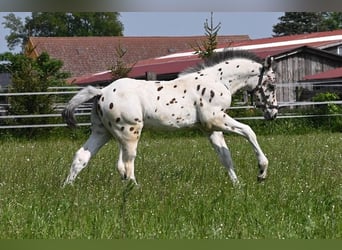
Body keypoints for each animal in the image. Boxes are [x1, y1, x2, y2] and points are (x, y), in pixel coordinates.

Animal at [62, 49, 278, 186]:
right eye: (272, 85)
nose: (273, 113)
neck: (218, 80)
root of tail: (101, 92)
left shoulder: (209, 128)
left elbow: (225, 156)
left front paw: (238, 186)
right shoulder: (216, 119)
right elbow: (249, 131)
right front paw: (261, 172)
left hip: (102, 132)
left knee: (82, 157)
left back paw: (67, 188)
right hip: (130, 132)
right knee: (126, 165)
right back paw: (136, 191)